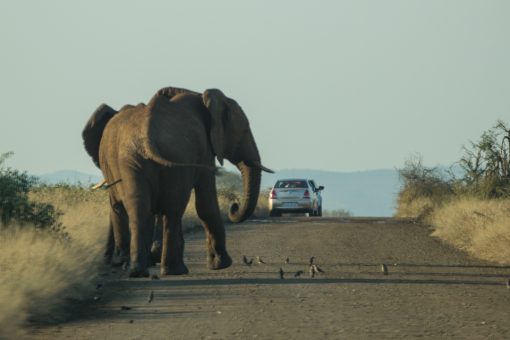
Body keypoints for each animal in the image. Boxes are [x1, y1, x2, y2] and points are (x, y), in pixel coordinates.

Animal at [82, 86, 274, 278]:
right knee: (172, 209)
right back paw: (173, 270)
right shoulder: (204, 151)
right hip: (172, 155)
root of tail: (146, 137)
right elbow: (206, 204)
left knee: (141, 208)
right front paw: (221, 264)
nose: (234, 206)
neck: (201, 96)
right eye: (244, 130)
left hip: (132, 160)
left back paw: (139, 270)